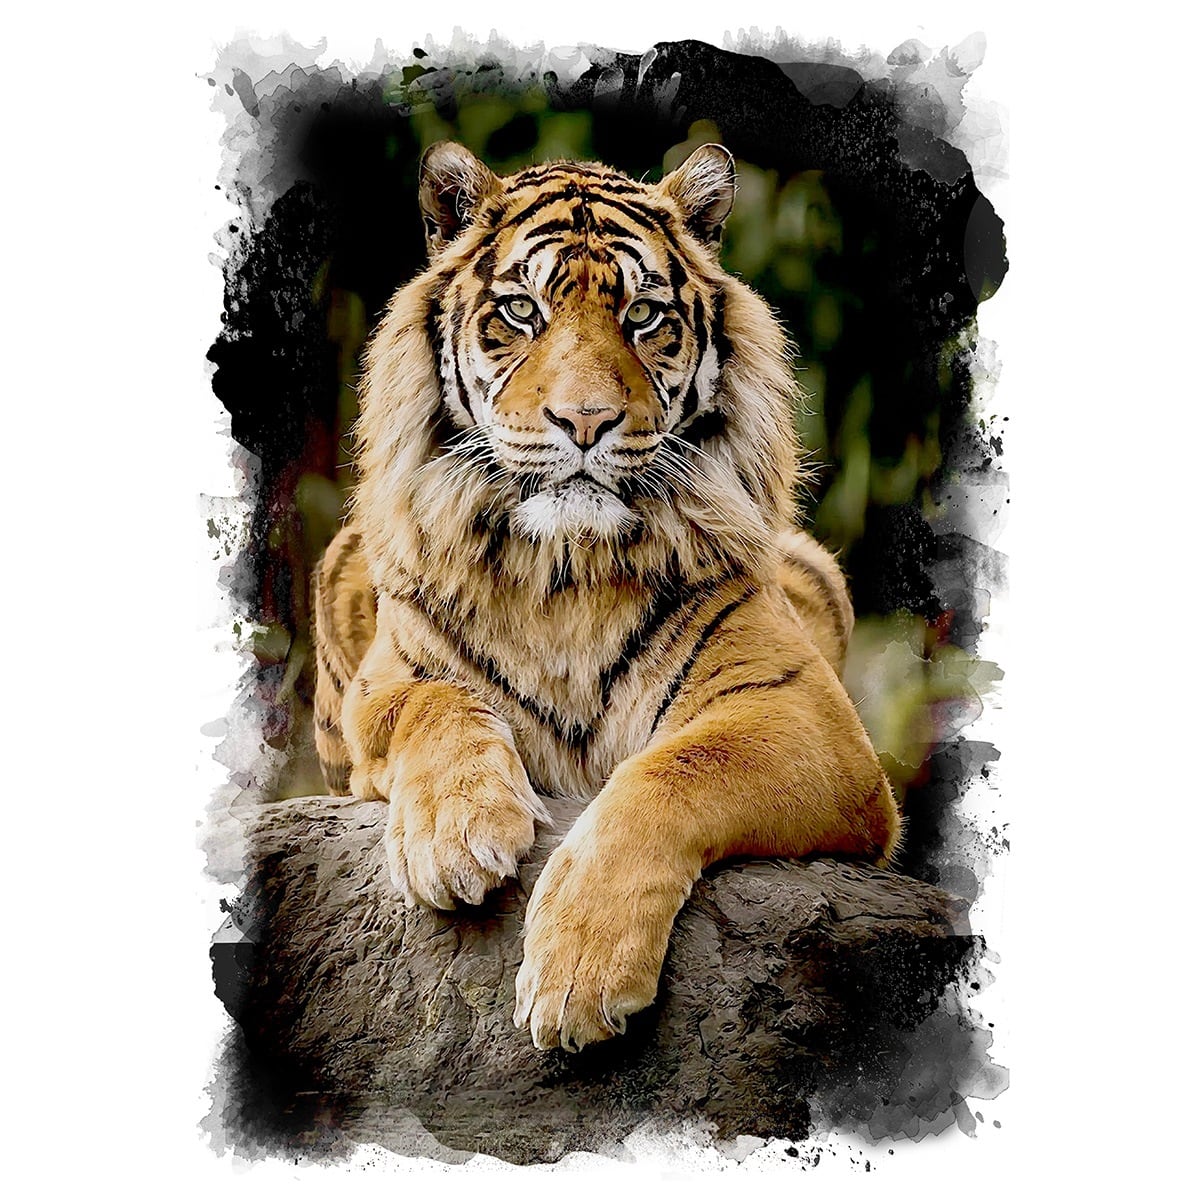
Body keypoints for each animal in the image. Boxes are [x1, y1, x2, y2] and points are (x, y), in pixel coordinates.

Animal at [312, 140, 901, 1052]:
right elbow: (435, 703)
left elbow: (674, 770)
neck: (566, 573)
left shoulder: (809, 720)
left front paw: (577, 975)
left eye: (644, 316)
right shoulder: (382, 687)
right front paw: (456, 836)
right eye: (521, 311)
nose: (584, 422)